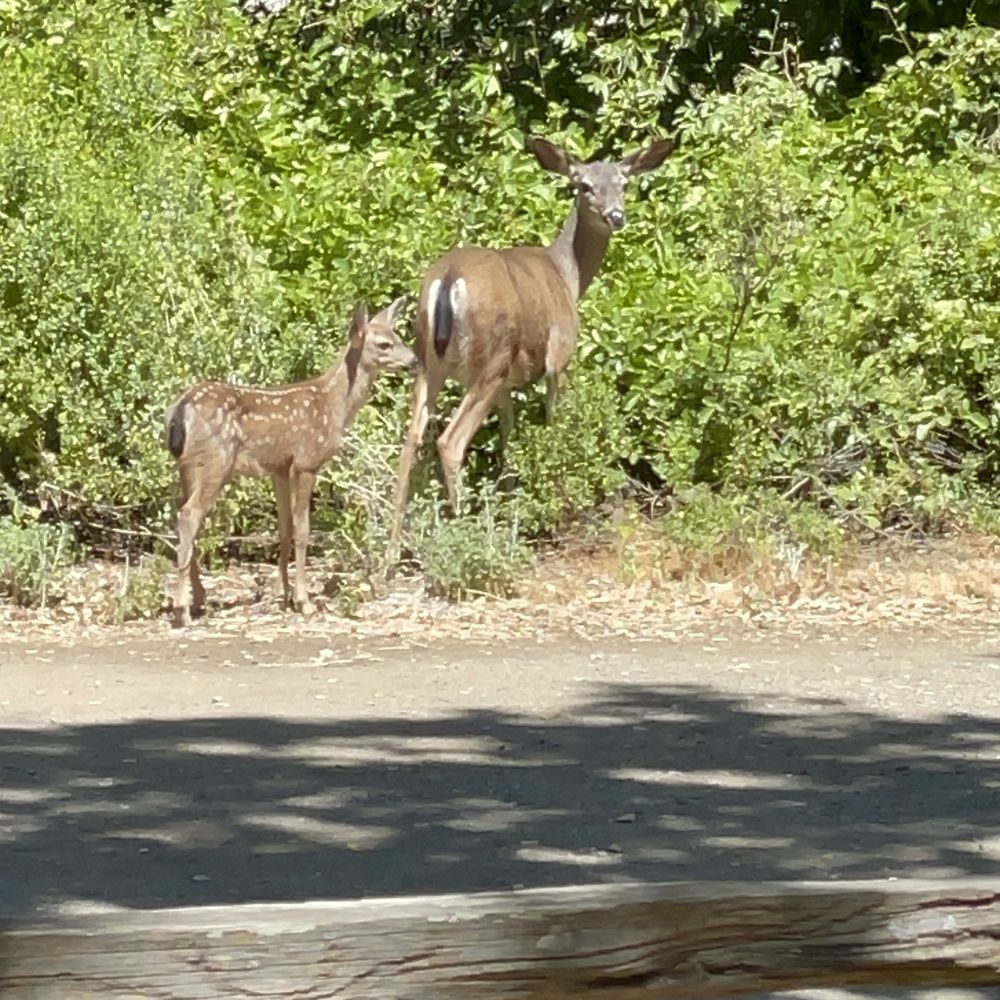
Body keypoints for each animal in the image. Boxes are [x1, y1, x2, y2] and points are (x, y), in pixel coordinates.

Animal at [165, 297, 414, 628]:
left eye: (398, 336)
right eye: (385, 344)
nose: (415, 361)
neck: (333, 404)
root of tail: (181, 409)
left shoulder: (280, 468)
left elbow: (283, 528)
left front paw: (285, 595)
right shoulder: (307, 461)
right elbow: (303, 530)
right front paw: (304, 601)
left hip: (189, 465)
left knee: (188, 517)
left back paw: (199, 599)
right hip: (218, 460)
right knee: (189, 515)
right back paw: (181, 610)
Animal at [390, 134, 674, 555]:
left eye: (623, 183)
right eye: (583, 185)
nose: (616, 216)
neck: (567, 275)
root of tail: (449, 279)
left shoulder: (509, 383)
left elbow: (508, 437)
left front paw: (513, 505)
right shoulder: (559, 357)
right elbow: (555, 423)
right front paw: (562, 507)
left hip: (428, 359)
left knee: (412, 437)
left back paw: (392, 547)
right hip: (490, 358)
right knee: (449, 441)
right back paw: (467, 535)